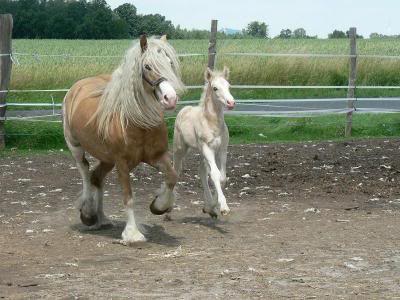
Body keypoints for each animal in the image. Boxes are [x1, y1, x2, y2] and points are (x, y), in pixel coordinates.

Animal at [62, 35, 184, 244]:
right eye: (147, 66)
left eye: (169, 63)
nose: (170, 98)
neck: (138, 121)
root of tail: (77, 87)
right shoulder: (122, 163)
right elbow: (128, 197)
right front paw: (132, 233)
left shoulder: (157, 156)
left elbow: (172, 177)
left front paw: (159, 205)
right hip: (75, 145)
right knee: (85, 171)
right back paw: (88, 214)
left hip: (106, 158)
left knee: (96, 177)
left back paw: (102, 218)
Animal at [173, 67, 236, 218]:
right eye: (215, 88)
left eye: (228, 86)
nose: (231, 103)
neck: (212, 123)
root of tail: (184, 109)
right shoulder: (208, 148)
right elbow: (215, 175)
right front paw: (223, 207)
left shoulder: (222, 149)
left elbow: (222, 177)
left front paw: (212, 206)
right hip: (180, 148)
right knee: (176, 170)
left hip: (202, 152)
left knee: (201, 171)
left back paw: (209, 208)